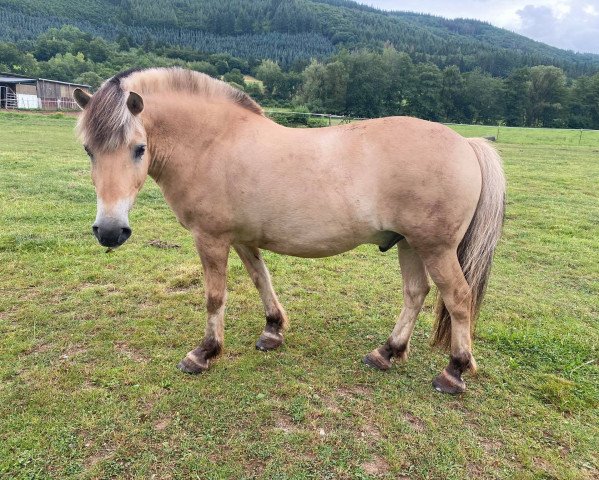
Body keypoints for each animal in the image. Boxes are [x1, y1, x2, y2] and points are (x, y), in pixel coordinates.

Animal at [74, 67, 506, 394]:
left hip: (435, 248)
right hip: (410, 245)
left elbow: (215, 296)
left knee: (458, 298)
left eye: (139, 148)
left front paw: (205, 352)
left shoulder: (211, 238)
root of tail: (466, 144)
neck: (214, 142)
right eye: (88, 150)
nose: (109, 231)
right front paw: (273, 330)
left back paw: (454, 371)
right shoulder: (242, 238)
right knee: (416, 293)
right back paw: (386, 352)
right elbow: (261, 278)